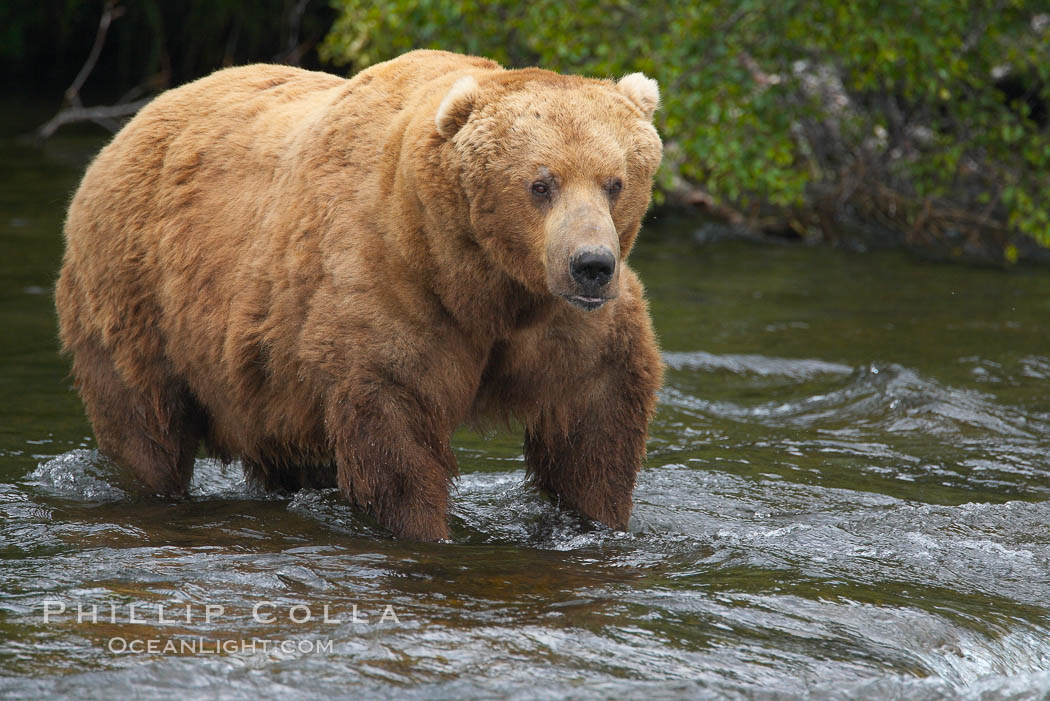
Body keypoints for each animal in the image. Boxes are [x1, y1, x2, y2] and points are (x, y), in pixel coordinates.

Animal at [53, 50, 659, 541]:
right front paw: (425, 529)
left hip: (268, 378)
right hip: (133, 294)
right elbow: (396, 432)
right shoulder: (395, 290)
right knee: (145, 424)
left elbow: (594, 427)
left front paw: (597, 520)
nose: (591, 266)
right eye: (540, 183)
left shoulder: (566, 326)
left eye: (615, 182)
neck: (481, 283)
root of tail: (128, 128)